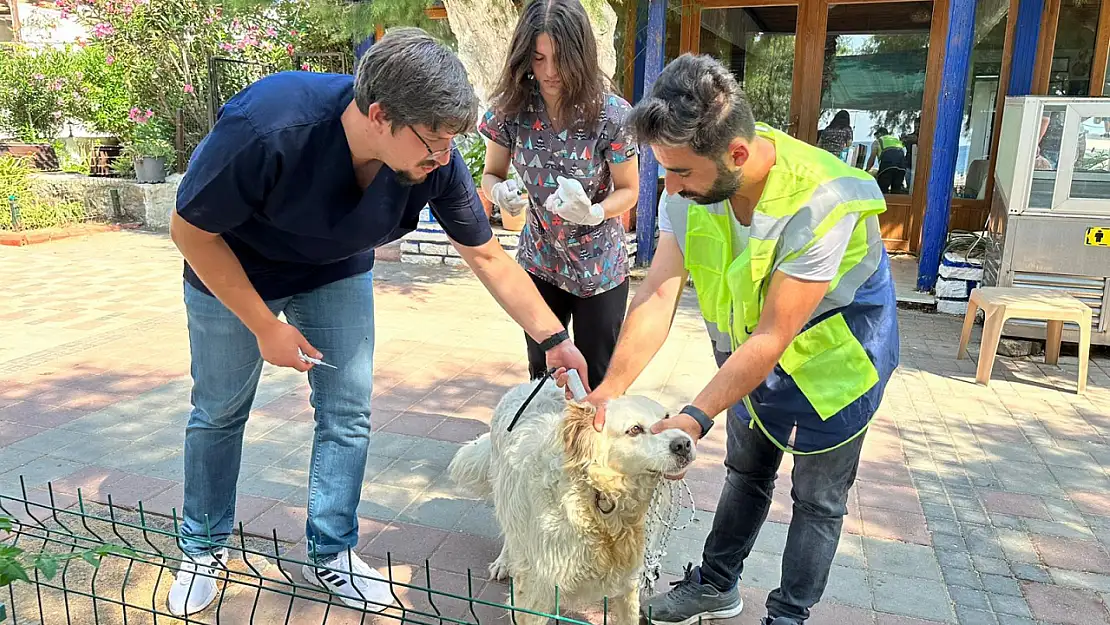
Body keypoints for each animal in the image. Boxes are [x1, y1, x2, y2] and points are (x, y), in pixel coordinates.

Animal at [444, 381, 688, 625]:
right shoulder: (536, 593)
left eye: (668, 417)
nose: (684, 443)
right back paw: (504, 562)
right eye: (635, 429)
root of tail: (533, 383)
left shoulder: (627, 585)